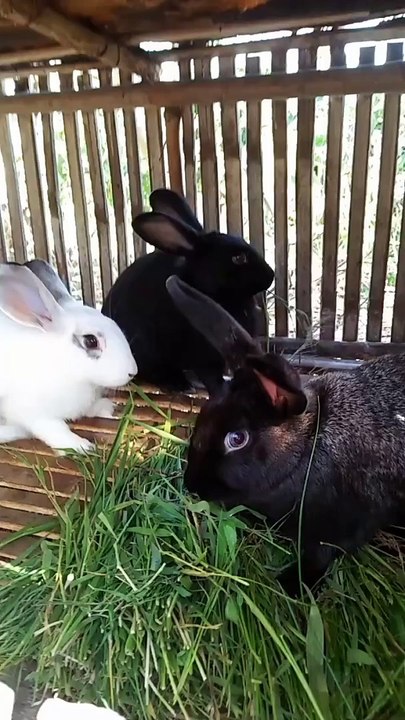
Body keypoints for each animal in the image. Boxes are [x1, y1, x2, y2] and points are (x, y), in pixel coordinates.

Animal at [0, 263, 137, 454]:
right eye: (91, 341)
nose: (133, 372)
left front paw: (107, 407)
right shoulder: (31, 412)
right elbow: (55, 430)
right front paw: (82, 446)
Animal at [166, 274, 405, 595]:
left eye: (237, 439)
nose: (192, 487)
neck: (308, 444)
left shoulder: (347, 524)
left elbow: (323, 554)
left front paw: (290, 585)